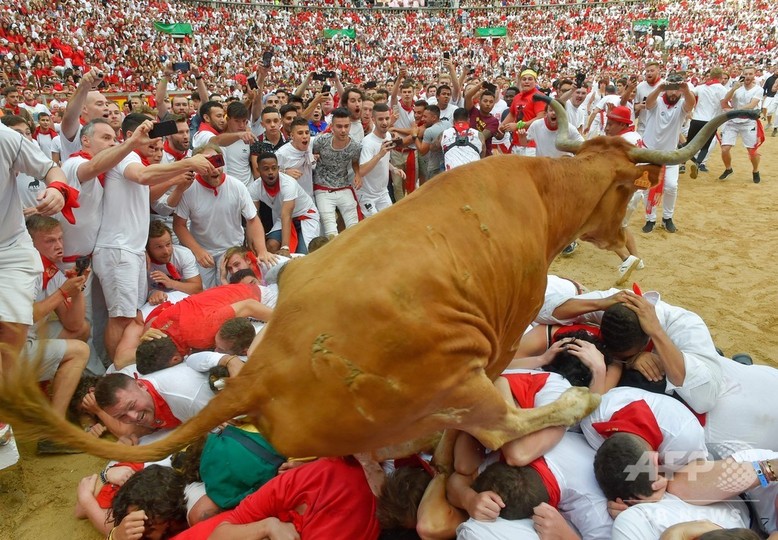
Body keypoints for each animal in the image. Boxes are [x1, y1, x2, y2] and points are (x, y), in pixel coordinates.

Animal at [0, 100, 752, 464]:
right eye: (626, 187)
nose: (625, 239)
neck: (538, 193)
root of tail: (264, 369)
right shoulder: (510, 324)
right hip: (458, 382)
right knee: (502, 428)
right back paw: (576, 400)